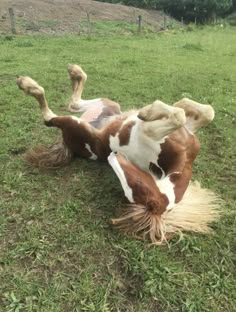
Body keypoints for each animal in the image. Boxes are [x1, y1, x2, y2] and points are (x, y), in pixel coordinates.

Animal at [15, 66, 220, 245]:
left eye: (135, 187)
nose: (113, 156)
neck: (181, 158)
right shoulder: (186, 131)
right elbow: (202, 111)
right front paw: (155, 109)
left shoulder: (150, 132)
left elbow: (179, 116)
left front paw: (149, 111)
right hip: (106, 103)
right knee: (74, 104)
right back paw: (74, 72)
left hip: (76, 123)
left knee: (52, 116)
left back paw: (29, 85)